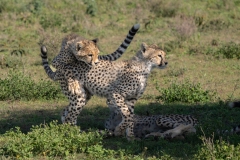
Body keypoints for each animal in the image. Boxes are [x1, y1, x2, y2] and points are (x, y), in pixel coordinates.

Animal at [40, 42, 168, 139]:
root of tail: (63, 67)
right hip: (79, 96)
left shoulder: (132, 99)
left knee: (66, 111)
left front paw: (130, 136)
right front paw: (119, 131)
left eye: (164, 55)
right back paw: (72, 133)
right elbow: (127, 115)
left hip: (84, 96)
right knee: (70, 116)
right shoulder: (116, 94)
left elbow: (131, 117)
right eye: (159, 55)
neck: (144, 68)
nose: (166, 62)